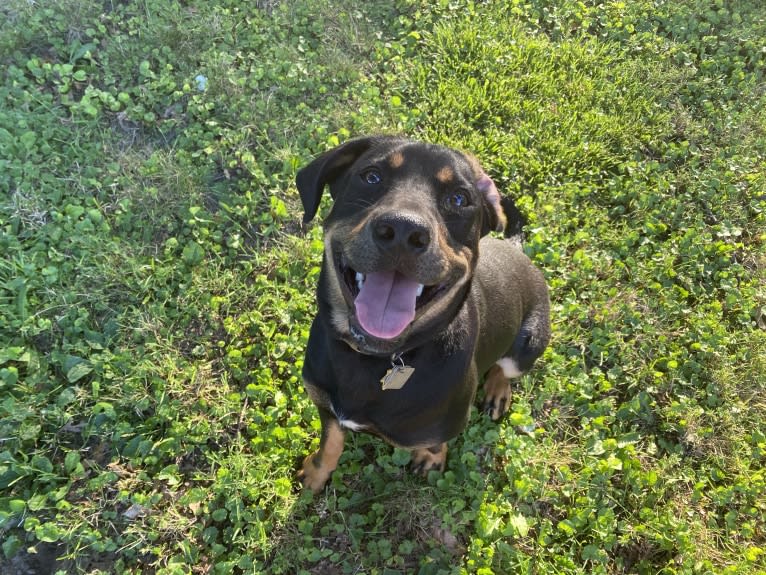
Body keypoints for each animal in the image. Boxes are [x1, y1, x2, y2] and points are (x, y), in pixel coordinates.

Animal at [294, 137, 552, 492]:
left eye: (459, 198)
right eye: (371, 176)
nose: (404, 231)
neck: (377, 359)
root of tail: (515, 249)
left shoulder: (444, 424)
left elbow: (434, 442)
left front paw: (430, 459)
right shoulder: (327, 407)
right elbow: (330, 443)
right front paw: (316, 474)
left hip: (528, 344)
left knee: (505, 367)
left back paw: (497, 391)